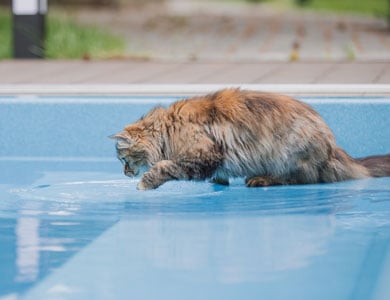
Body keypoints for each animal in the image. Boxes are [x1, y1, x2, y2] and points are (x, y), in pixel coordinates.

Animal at [110, 88, 390, 190]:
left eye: (124, 160)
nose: (125, 173)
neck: (168, 130)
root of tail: (332, 148)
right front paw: (220, 183)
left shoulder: (202, 155)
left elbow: (166, 167)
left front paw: (145, 183)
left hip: (290, 155)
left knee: (302, 179)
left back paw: (260, 180)